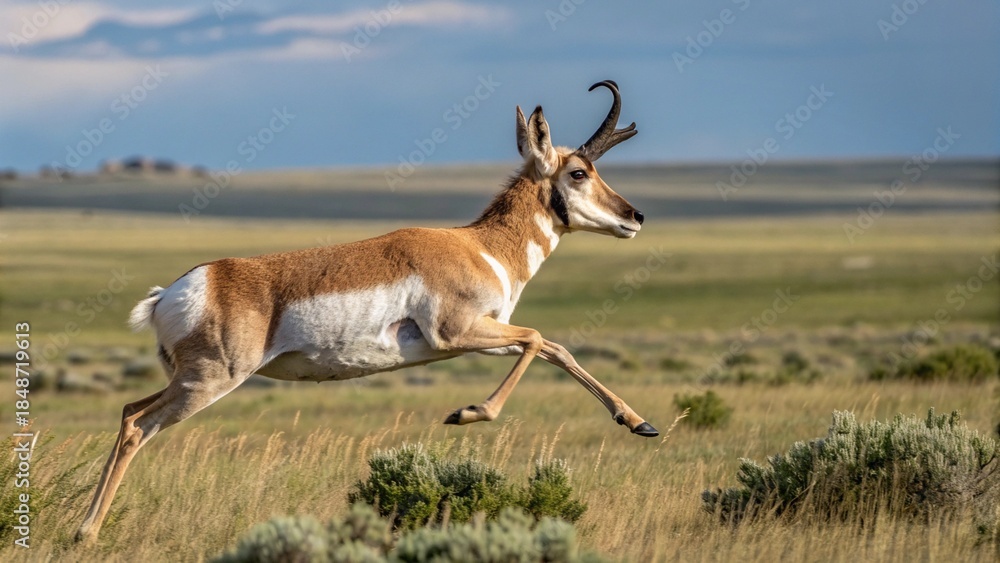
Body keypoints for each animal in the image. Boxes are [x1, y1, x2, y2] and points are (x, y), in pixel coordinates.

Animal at [75, 80, 657, 543]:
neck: (481, 246)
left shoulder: (488, 332)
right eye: (578, 172)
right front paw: (467, 413)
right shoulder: (457, 334)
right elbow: (537, 338)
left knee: (130, 412)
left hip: (189, 381)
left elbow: (555, 347)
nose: (636, 216)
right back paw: (86, 533)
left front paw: (639, 423)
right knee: (137, 426)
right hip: (210, 381)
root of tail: (183, 287)